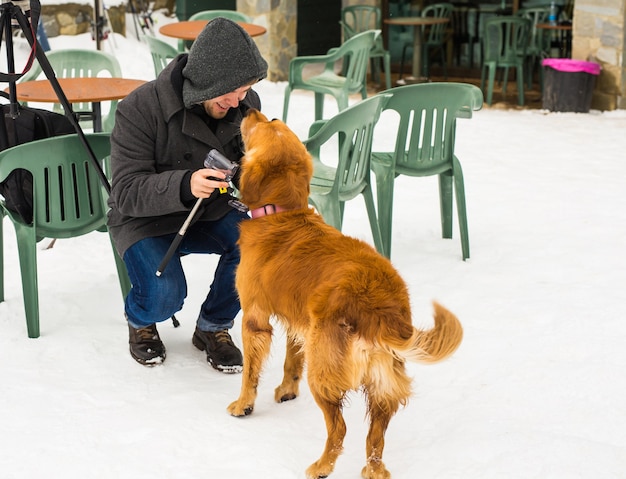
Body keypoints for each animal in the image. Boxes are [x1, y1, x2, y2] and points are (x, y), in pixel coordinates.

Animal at [227, 109, 460, 479]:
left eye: (267, 125)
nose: (250, 110)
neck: (281, 214)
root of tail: (381, 310)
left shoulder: (255, 318)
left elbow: (251, 372)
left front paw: (243, 405)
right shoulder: (300, 321)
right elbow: (292, 359)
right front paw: (286, 390)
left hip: (324, 371)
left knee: (340, 429)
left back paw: (321, 466)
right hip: (381, 385)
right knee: (374, 438)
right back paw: (374, 470)